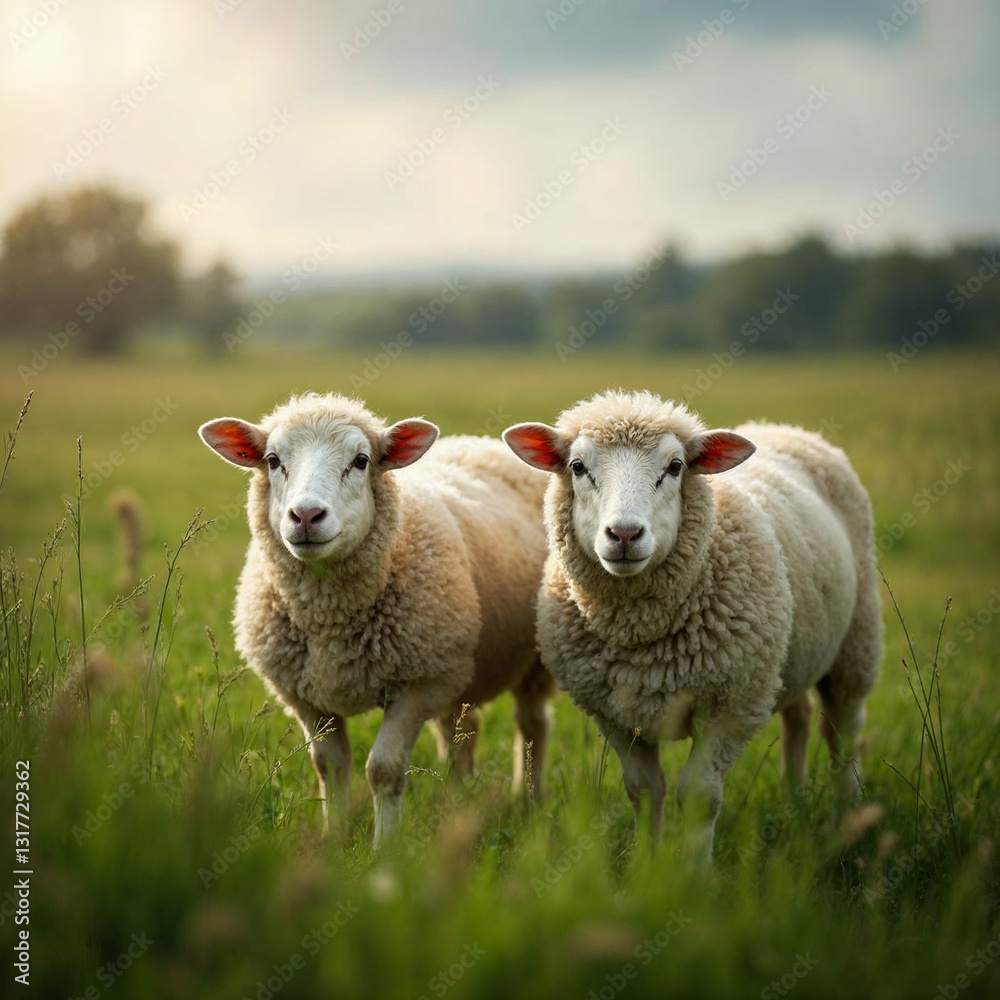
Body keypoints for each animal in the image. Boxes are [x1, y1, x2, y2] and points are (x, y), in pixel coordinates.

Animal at [198, 393, 553, 847]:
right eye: (273, 460)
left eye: (362, 460)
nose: (306, 516)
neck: (329, 622)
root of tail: (478, 442)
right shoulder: (307, 696)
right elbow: (330, 766)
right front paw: (332, 838)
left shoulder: (418, 683)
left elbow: (383, 770)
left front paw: (385, 849)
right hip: (456, 665)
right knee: (461, 732)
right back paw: (455, 803)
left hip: (526, 661)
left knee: (532, 726)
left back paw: (529, 800)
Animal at [503, 390, 882, 863]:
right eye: (577, 466)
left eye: (675, 466)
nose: (624, 534)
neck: (642, 636)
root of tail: (784, 427)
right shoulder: (615, 714)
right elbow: (645, 790)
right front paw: (648, 865)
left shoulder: (730, 707)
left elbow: (699, 797)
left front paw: (694, 872)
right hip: (792, 652)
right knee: (799, 717)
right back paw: (794, 801)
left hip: (854, 645)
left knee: (843, 735)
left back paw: (847, 821)